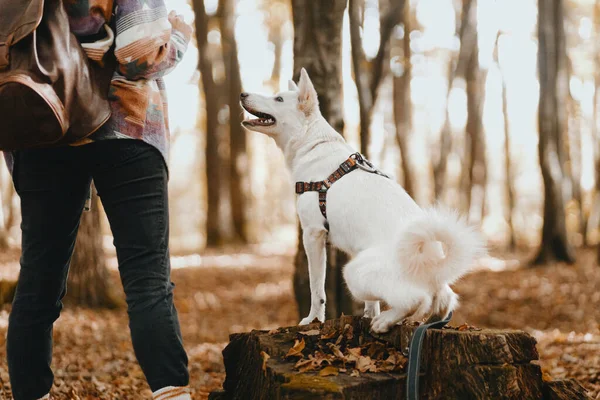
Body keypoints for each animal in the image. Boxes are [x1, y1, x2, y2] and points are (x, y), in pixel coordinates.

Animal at [240, 69, 488, 334]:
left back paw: (385, 321)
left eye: (278, 99)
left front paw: (314, 319)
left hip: (353, 272)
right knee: (440, 301)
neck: (314, 144)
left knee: (416, 300)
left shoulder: (313, 234)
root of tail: (432, 265)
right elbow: (371, 303)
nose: (242, 94)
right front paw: (367, 315)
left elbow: (317, 288)